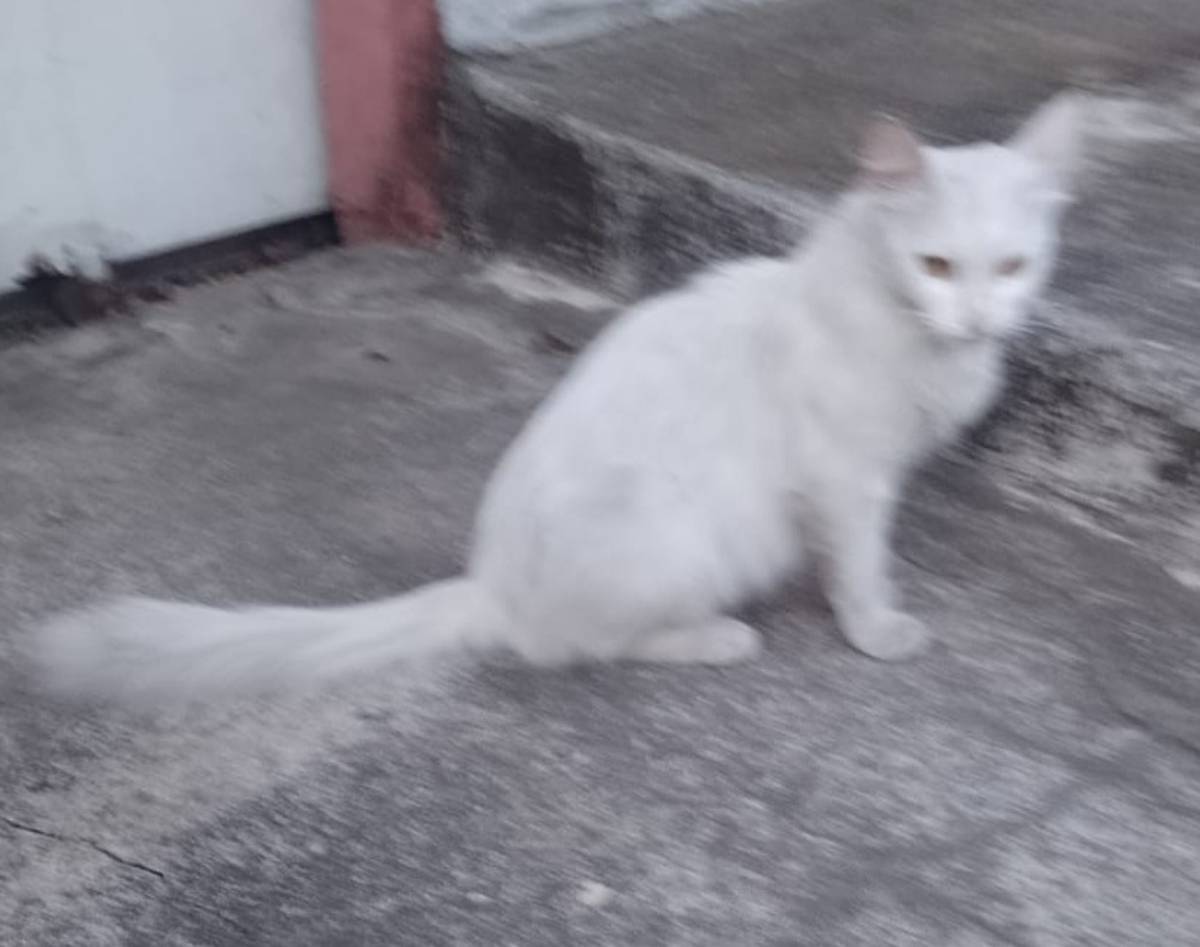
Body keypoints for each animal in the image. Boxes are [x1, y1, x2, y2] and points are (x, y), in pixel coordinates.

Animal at [34, 94, 1081, 702]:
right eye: (936, 266)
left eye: (1012, 268)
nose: (980, 318)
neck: (880, 309)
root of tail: (490, 581)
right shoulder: (847, 479)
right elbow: (861, 566)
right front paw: (876, 631)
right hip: (677, 532)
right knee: (588, 645)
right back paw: (718, 637)